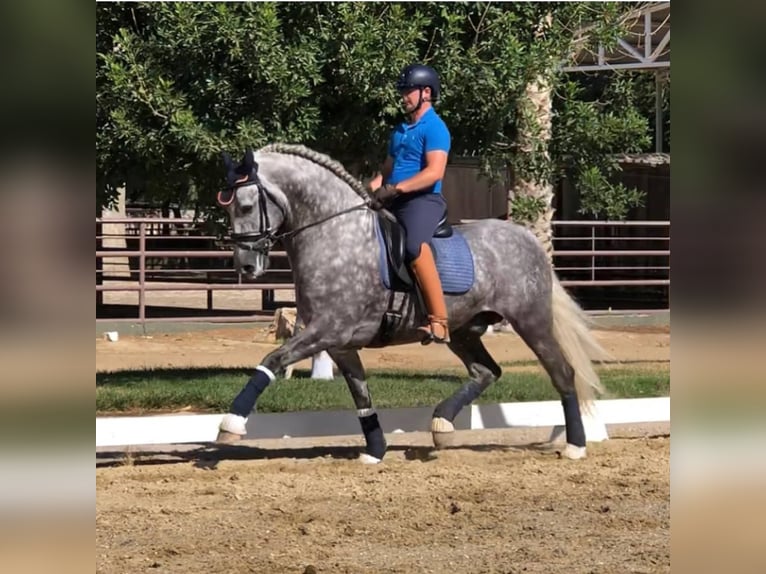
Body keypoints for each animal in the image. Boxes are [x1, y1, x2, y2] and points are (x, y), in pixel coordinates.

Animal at [214, 144, 608, 462]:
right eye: (228, 209)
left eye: (246, 205)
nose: (246, 266)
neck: (336, 235)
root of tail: (527, 238)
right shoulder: (339, 342)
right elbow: (361, 394)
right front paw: (374, 450)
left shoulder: (328, 330)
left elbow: (272, 359)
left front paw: (231, 424)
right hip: (464, 330)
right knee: (486, 371)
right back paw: (442, 423)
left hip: (531, 321)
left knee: (563, 373)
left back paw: (576, 446)